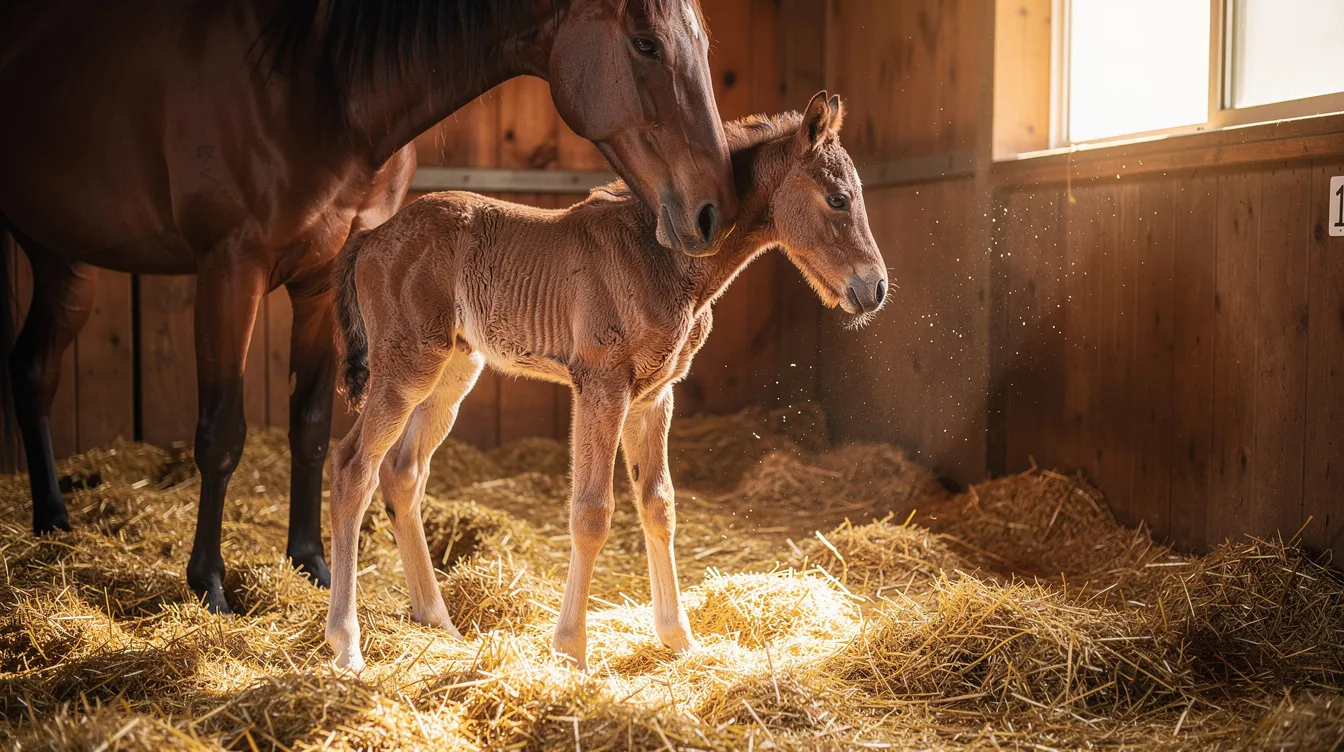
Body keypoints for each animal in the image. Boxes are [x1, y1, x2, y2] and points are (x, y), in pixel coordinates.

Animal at [0, 0, 736, 614]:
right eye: (644, 42)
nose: (711, 212)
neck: (317, 86)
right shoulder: (229, 268)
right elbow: (222, 432)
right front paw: (208, 582)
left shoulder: (321, 278)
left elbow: (310, 425)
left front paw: (314, 566)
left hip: (65, 263)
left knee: (33, 370)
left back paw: (54, 522)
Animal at [325, 91, 886, 671]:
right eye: (838, 199)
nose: (876, 288)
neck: (662, 257)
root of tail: (370, 237)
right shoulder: (601, 384)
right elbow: (593, 511)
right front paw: (571, 650)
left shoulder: (655, 395)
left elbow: (659, 504)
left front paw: (679, 638)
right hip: (406, 366)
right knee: (352, 467)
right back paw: (346, 643)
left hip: (452, 371)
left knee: (402, 472)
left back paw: (437, 621)